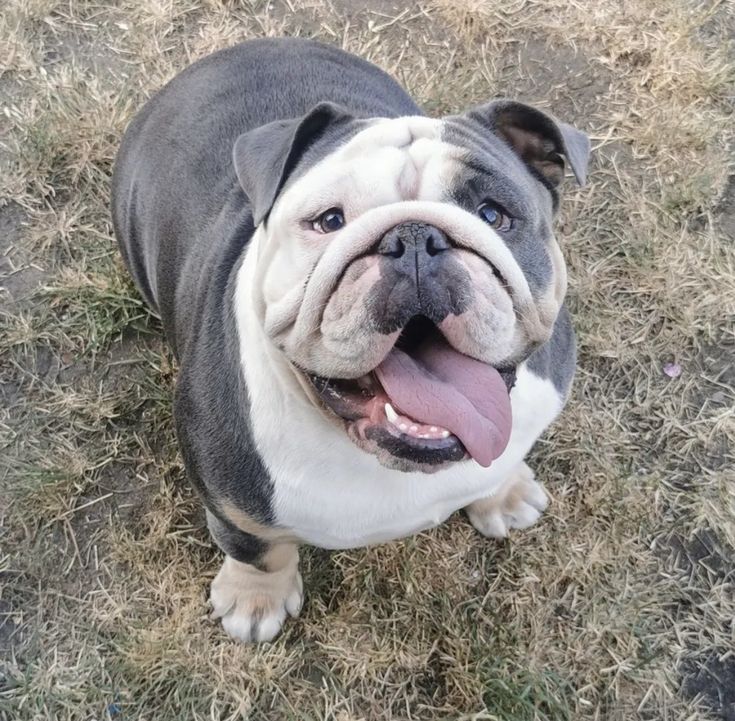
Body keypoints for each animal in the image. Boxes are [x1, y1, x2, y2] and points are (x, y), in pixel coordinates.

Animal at [110, 36, 592, 640]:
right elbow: (258, 550)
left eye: (493, 214)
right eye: (329, 221)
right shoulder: (232, 502)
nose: (416, 238)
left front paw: (504, 493)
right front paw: (254, 600)